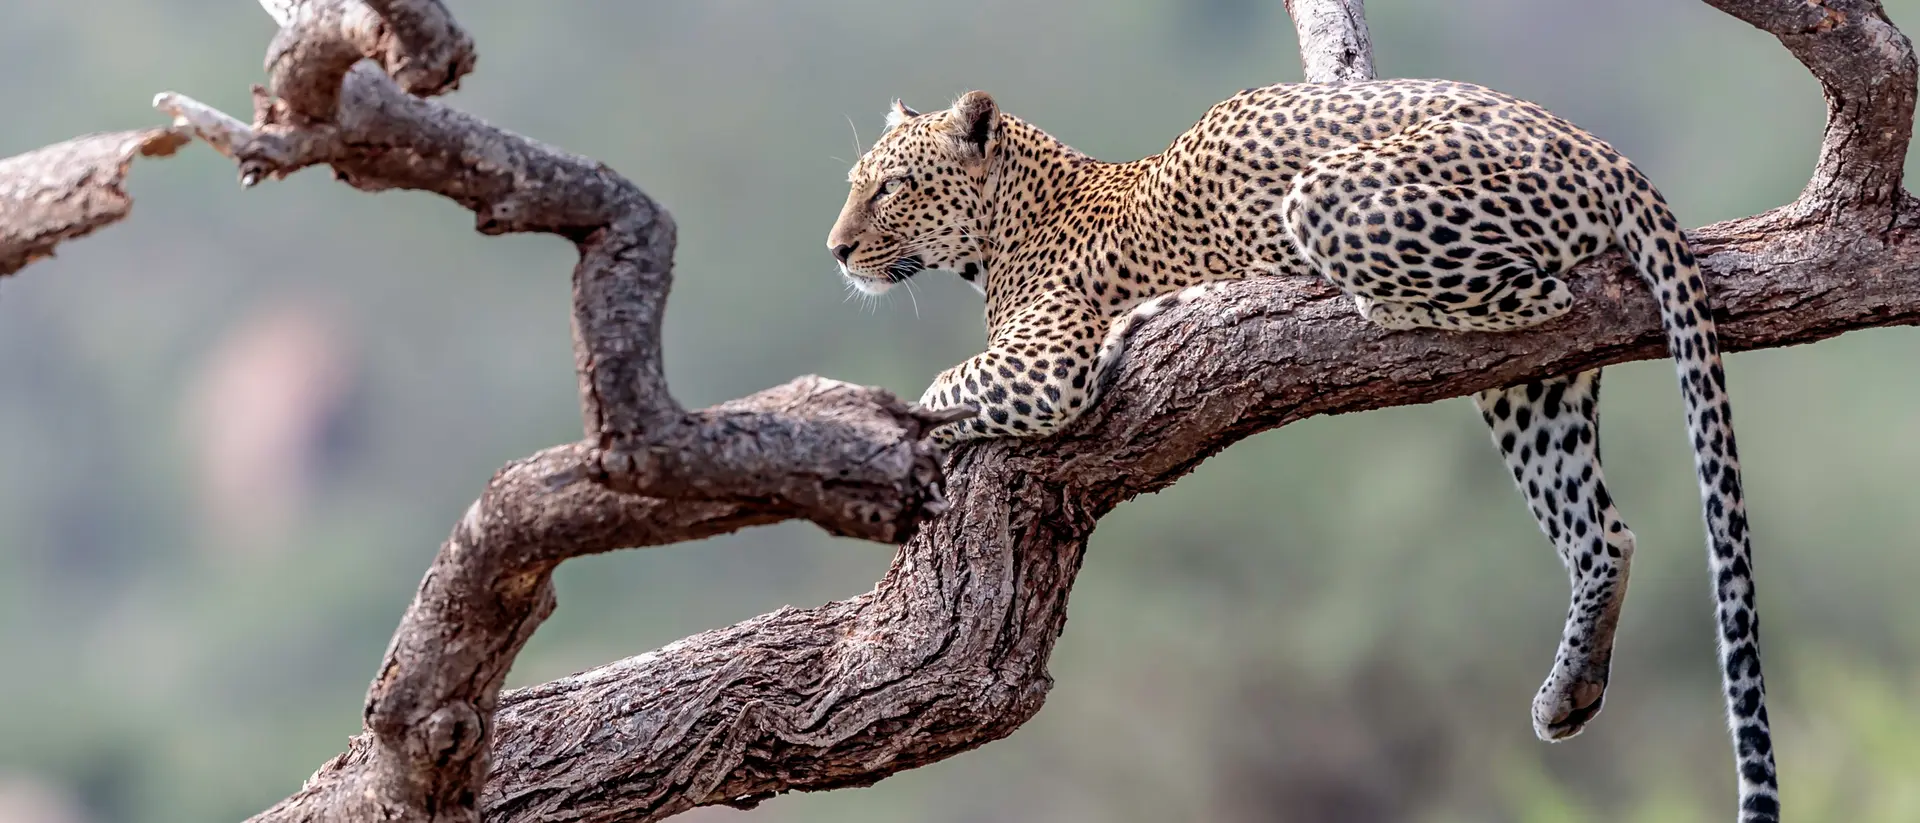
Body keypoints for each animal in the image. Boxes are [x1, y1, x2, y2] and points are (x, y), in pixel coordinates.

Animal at [825, 80, 1776, 822]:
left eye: (892, 187)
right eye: (855, 185)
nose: (836, 250)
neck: (1009, 225)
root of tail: (1600, 148)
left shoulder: (1046, 365)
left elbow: (938, 391)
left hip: (1333, 197)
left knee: (1536, 292)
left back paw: (1350, 304)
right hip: (1535, 391)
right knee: (1602, 530)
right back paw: (1570, 690)